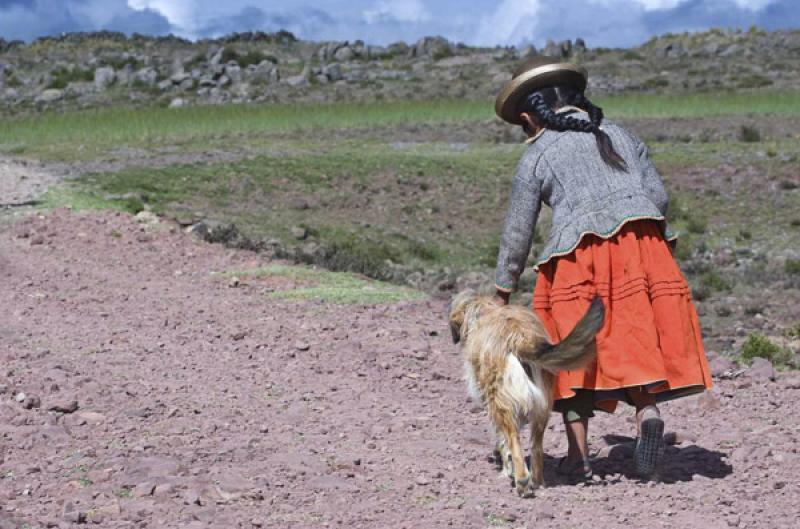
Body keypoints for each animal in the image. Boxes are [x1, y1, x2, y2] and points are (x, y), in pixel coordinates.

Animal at [446, 290, 604, 498]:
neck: (482, 311)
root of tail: (520, 337)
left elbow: (503, 442)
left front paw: (506, 470)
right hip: (541, 408)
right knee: (536, 447)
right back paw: (537, 482)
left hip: (502, 403)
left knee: (514, 442)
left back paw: (522, 483)